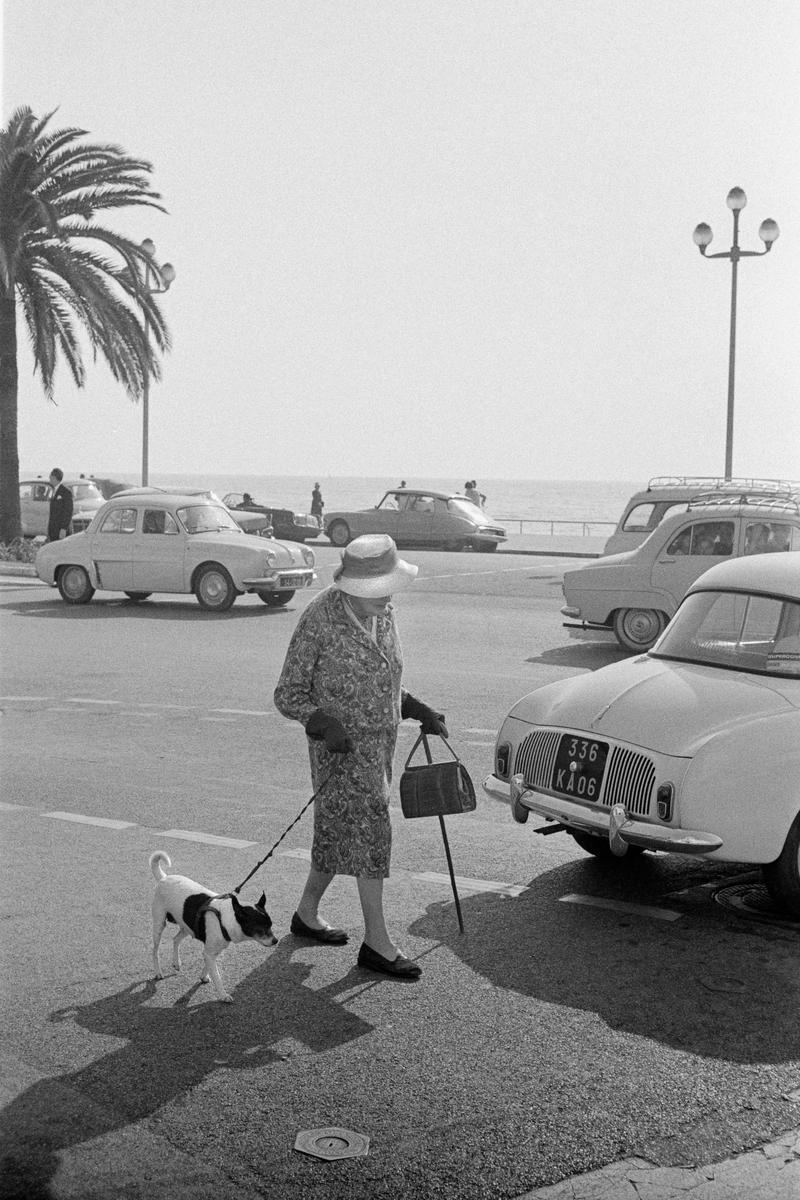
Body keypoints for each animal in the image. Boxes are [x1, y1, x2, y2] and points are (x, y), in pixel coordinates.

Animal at [149, 849, 278, 1008]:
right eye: (261, 928)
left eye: (270, 925)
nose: (276, 941)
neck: (224, 919)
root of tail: (164, 878)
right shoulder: (210, 952)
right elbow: (217, 976)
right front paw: (223, 995)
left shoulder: (213, 950)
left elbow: (208, 965)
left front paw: (203, 976)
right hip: (159, 924)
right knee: (155, 950)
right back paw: (158, 972)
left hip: (187, 926)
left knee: (176, 939)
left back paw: (176, 962)